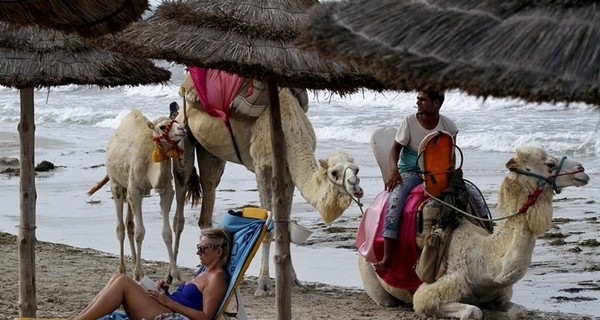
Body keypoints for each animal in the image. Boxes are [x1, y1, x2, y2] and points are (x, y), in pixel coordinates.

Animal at [88, 109, 185, 282]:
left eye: (176, 121)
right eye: (162, 126)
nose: (183, 130)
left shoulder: (166, 190)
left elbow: (166, 233)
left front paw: (174, 274)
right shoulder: (135, 190)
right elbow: (140, 232)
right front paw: (138, 273)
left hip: (127, 188)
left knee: (129, 224)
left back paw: (133, 262)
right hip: (116, 183)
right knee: (120, 227)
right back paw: (123, 269)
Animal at [171, 72, 364, 296]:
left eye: (356, 170)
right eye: (334, 172)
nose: (355, 186)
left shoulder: (288, 174)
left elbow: (285, 228)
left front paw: (294, 281)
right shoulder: (262, 165)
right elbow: (267, 228)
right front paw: (263, 284)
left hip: (210, 151)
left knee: (209, 191)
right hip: (181, 133)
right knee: (180, 198)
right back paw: (173, 275)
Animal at [358, 147, 588, 320]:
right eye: (549, 164)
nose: (582, 169)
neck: (485, 260)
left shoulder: (499, 293)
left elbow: (519, 311)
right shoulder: (432, 291)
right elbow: (472, 311)